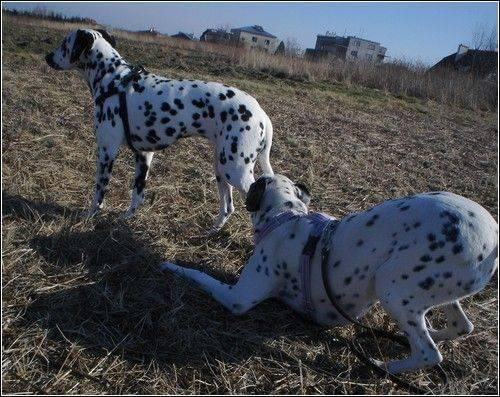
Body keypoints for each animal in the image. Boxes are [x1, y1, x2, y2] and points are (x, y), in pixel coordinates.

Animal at [45, 29, 274, 230]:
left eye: (65, 43)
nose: (47, 56)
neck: (114, 80)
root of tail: (262, 114)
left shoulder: (106, 152)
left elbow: (99, 192)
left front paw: (90, 215)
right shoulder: (143, 156)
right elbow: (137, 195)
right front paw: (126, 218)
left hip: (235, 170)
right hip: (221, 168)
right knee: (228, 207)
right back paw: (213, 230)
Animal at [162, 172, 498, 372]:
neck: (287, 217)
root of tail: (493, 235)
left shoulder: (238, 298)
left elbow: (200, 276)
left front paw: (173, 266)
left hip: (391, 286)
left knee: (429, 353)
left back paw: (382, 366)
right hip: (439, 291)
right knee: (460, 326)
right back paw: (417, 335)